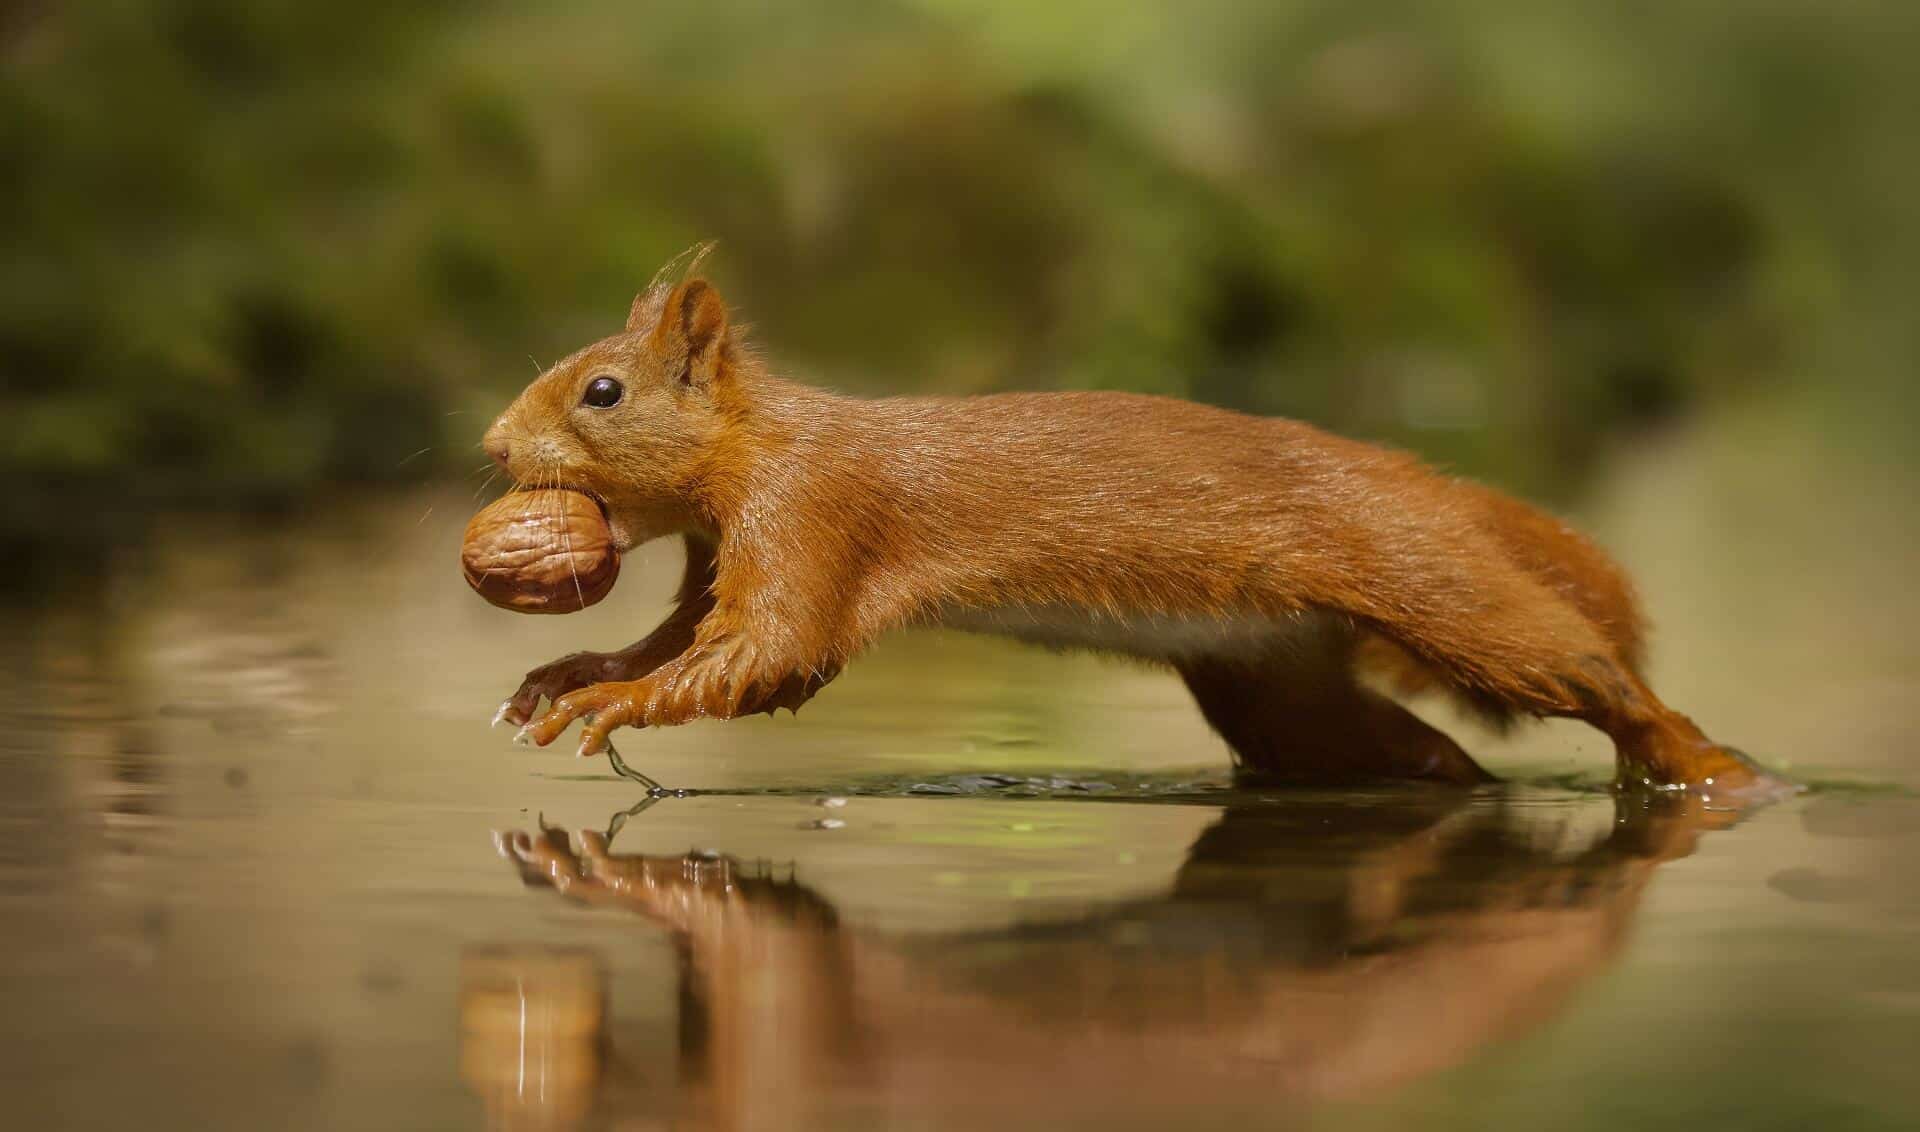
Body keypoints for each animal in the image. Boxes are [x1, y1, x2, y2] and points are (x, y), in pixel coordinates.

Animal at [487, 255, 1774, 798]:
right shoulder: (724, 551)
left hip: (1437, 582)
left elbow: (770, 652)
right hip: (1275, 677)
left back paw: (1714, 770)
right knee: (1410, 754)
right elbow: (690, 640)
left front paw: (609, 705)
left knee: (1592, 671)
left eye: (601, 391)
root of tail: (1426, 480)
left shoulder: (811, 516)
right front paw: (566, 676)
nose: (496, 443)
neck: (771, 442)